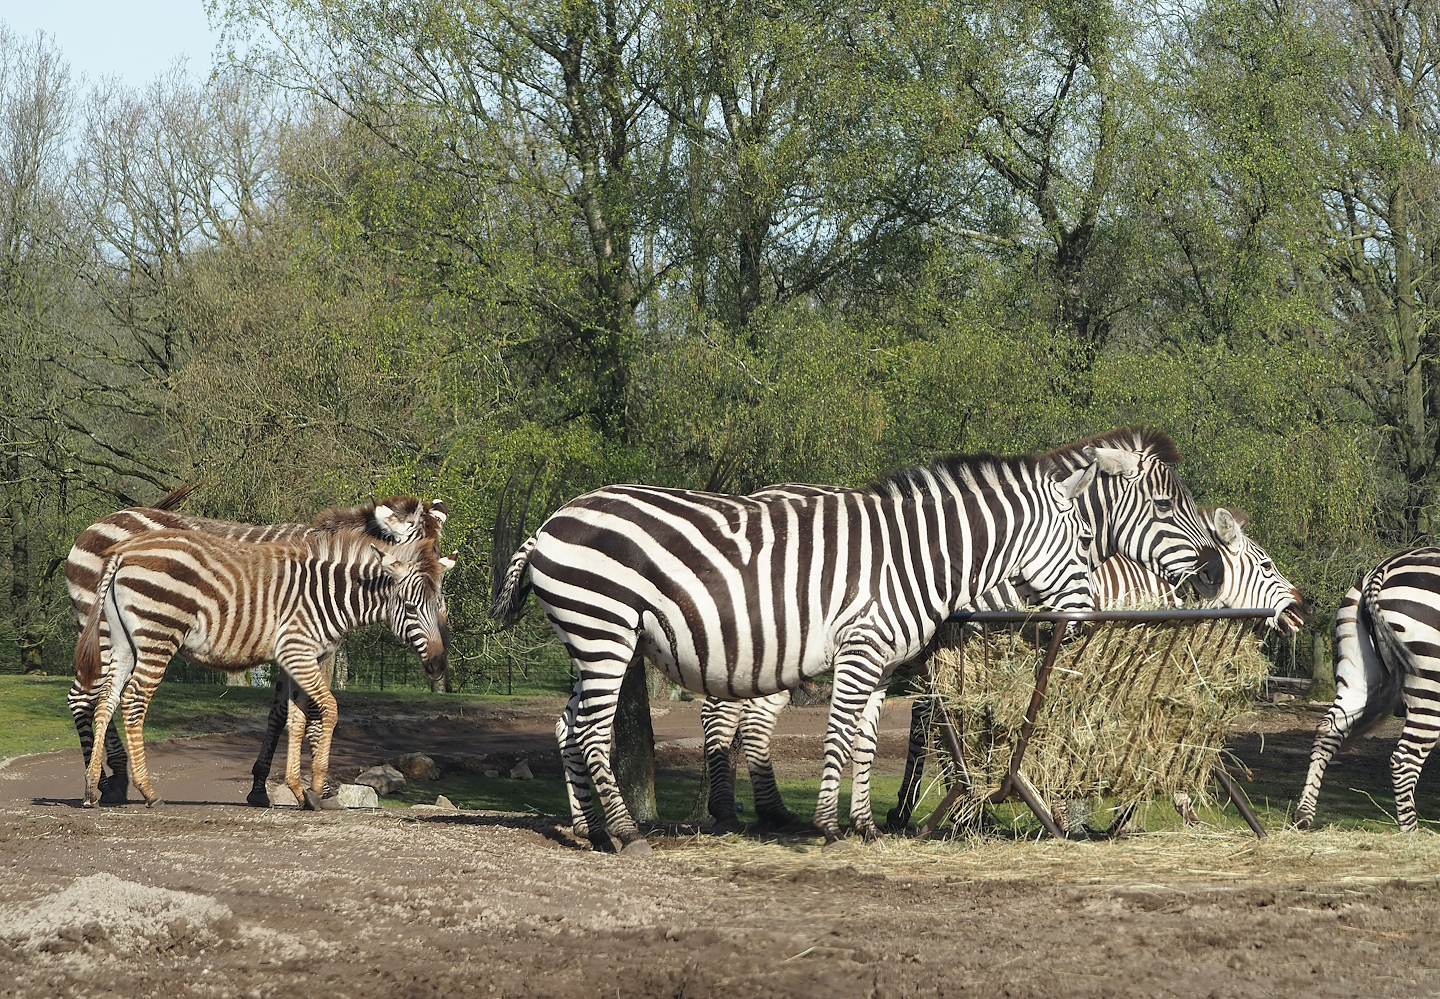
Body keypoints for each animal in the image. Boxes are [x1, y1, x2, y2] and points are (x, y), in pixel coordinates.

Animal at [64, 489, 445, 806]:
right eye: (419, 546)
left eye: (438, 552)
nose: (439, 664)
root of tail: (101, 527)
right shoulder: (303, 647)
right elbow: (313, 713)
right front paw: (316, 790)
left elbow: (287, 715)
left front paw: (273, 788)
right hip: (118, 632)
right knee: (96, 698)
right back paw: (117, 784)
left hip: (116, 637)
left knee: (101, 698)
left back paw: (100, 784)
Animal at [491, 430, 1218, 851]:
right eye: (1164, 505)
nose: (1211, 571)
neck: (924, 557)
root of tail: (548, 523)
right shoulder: (867, 648)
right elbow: (848, 737)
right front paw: (832, 827)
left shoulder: (889, 661)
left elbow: (873, 740)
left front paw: (868, 824)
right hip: (608, 631)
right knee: (596, 730)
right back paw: (624, 832)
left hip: (593, 639)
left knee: (567, 725)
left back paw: (586, 827)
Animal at [1294, 548, 1440, 832]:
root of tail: (1383, 568)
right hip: (1429, 683)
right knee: (1404, 760)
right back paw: (1411, 835)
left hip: (1357, 668)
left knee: (1328, 729)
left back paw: (1303, 813)